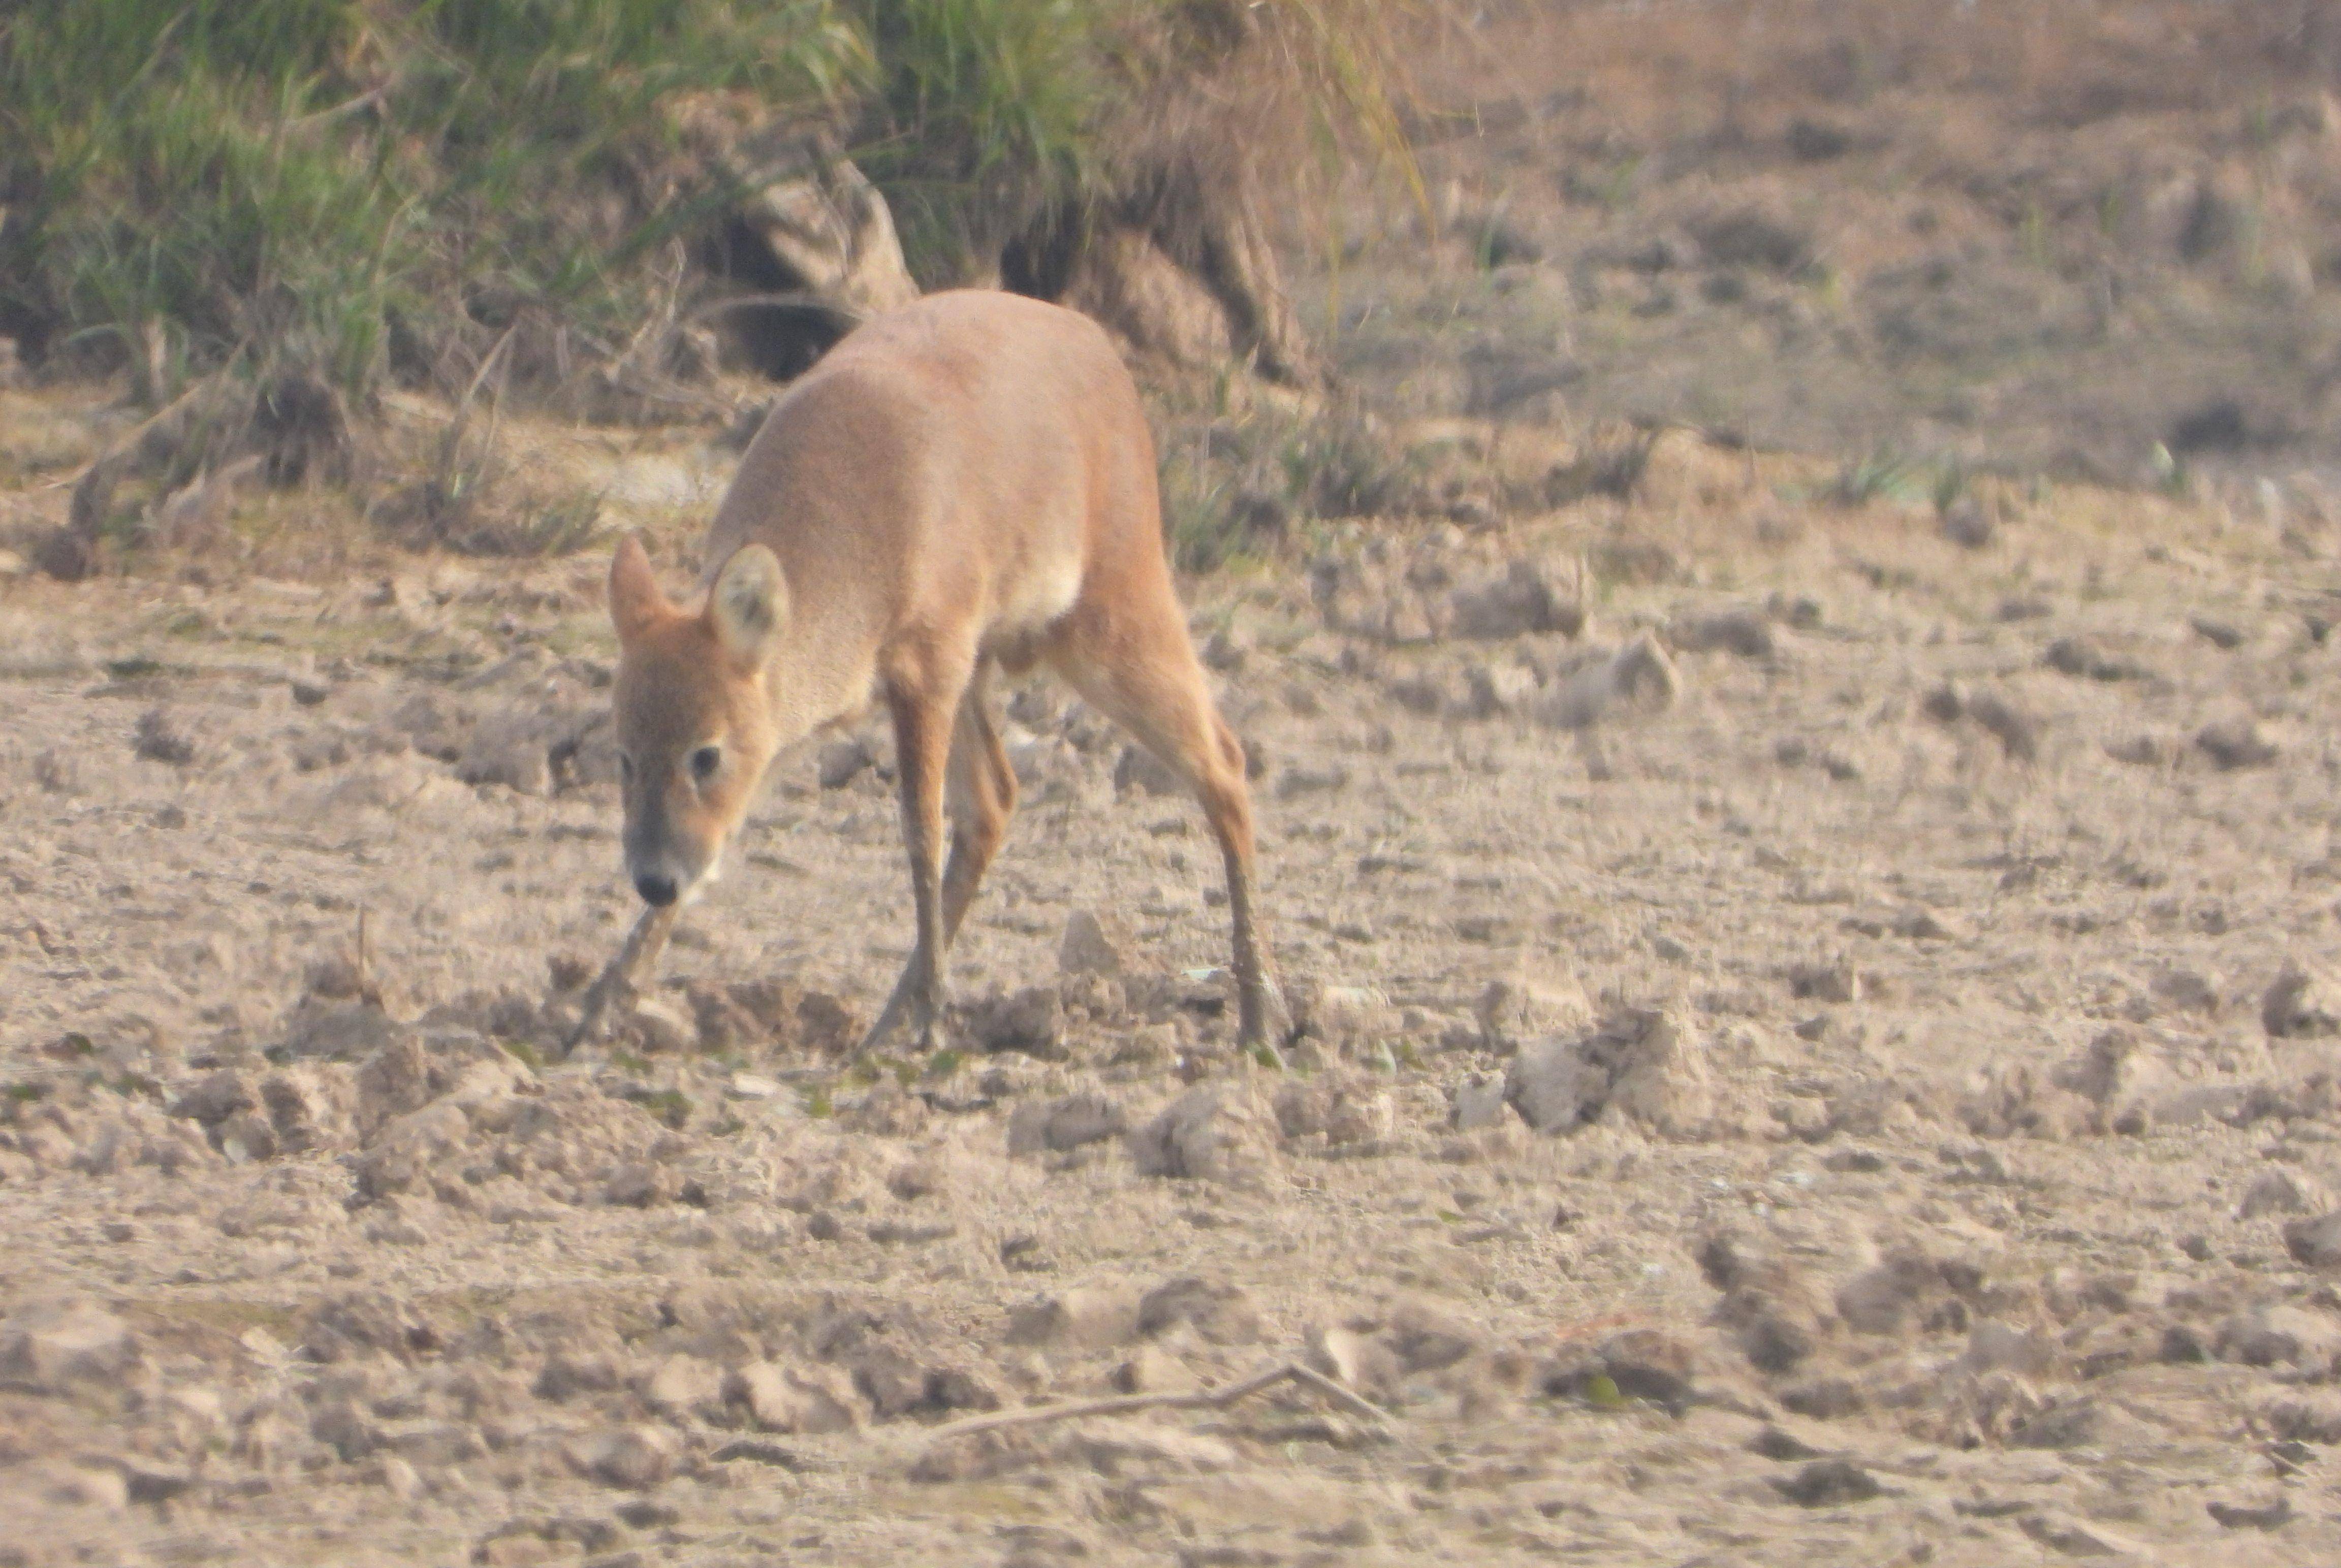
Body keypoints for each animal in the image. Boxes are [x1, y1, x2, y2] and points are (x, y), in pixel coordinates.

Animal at [604, 290, 1292, 1062]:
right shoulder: (807, 717)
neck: (856, 524)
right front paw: (605, 996)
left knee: (1224, 763)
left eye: (706, 754)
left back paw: (1258, 1017)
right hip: (988, 668)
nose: (654, 879)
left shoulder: (925, 671)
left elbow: (920, 832)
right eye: (623, 755)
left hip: (1114, 623)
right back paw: (885, 1022)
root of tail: (1095, 344)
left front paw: (936, 1016)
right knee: (997, 802)